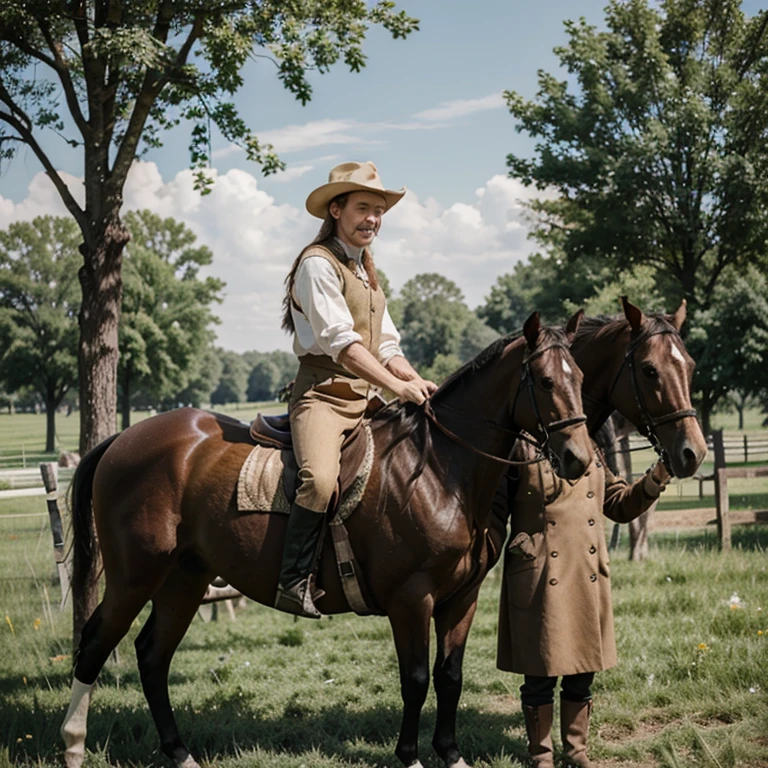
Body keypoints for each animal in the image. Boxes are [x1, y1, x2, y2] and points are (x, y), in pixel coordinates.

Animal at [61, 312, 592, 768]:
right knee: (95, 644)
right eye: (546, 381)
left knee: (152, 655)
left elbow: (450, 676)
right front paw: (410, 756)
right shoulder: (411, 599)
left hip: (185, 578)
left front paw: (452, 755)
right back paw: (73, 745)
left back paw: (179, 753)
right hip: (136, 576)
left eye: (581, 380)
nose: (578, 459)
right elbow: (416, 679)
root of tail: (123, 440)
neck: (440, 469)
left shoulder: (461, 597)